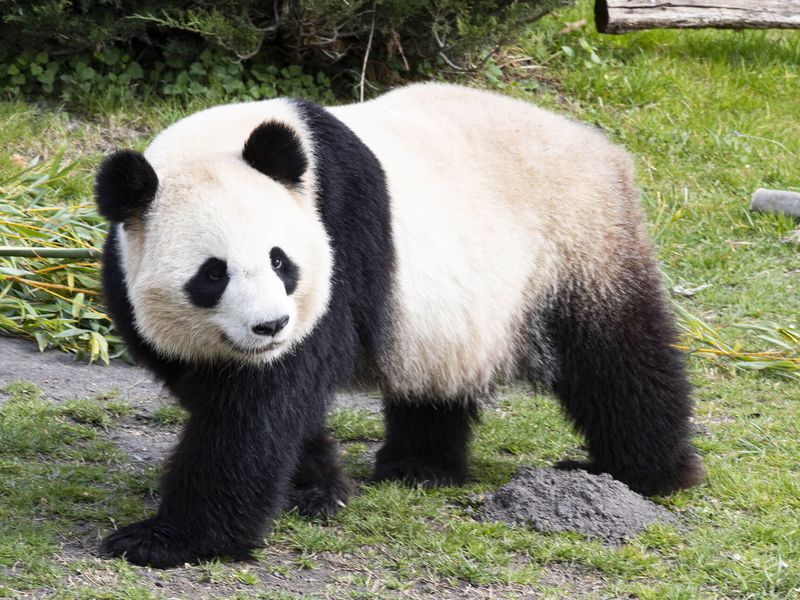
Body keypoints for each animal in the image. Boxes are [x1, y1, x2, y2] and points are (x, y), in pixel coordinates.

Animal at [97, 83, 704, 568]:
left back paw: (641, 473)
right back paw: (420, 465)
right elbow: (241, 395)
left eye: (280, 261)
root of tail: (600, 145)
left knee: (618, 357)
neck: (225, 141)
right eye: (213, 274)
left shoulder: (336, 239)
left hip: (574, 240)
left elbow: (264, 401)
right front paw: (315, 487)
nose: (270, 326)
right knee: (440, 377)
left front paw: (163, 540)